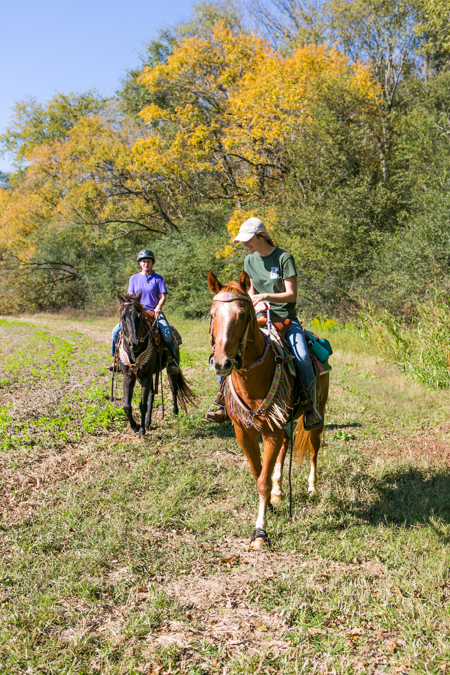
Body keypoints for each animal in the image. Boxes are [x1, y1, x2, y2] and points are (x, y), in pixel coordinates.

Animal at [116, 294, 193, 436]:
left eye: (139, 316)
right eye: (122, 317)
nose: (134, 343)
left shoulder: (146, 375)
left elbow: (142, 404)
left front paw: (141, 430)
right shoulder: (128, 376)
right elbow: (127, 406)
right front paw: (135, 426)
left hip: (171, 369)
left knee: (174, 389)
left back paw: (175, 414)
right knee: (152, 393)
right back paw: (148, 421)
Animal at [208, 270, 330, 548]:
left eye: (243, 314)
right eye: (212, 314)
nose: (222, 363)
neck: (253, 377)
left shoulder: (271, 430)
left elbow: (262, 480)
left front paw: (260, 531)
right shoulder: (244, 433)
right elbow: (257, 472)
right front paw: (271, 505)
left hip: (318, 413)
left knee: (314, 448)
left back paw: (311, 487)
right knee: (286, 446)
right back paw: (279, 490)